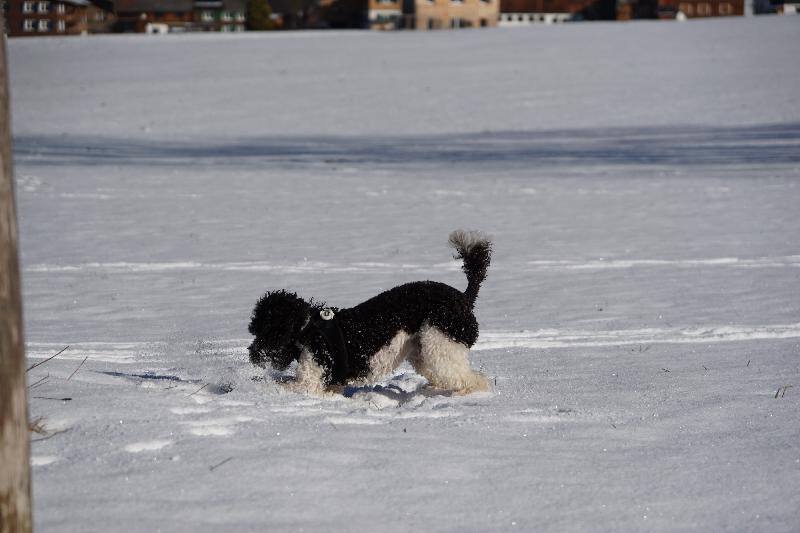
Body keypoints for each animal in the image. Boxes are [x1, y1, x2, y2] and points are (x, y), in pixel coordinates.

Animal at [247, 230, 492, 396]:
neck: (307, 330)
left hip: (440, 345)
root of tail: (464, 297)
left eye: (266, 329)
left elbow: (284, 384)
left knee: (474, 380)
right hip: (423, 351)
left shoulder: (310, 382)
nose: (252, 355)